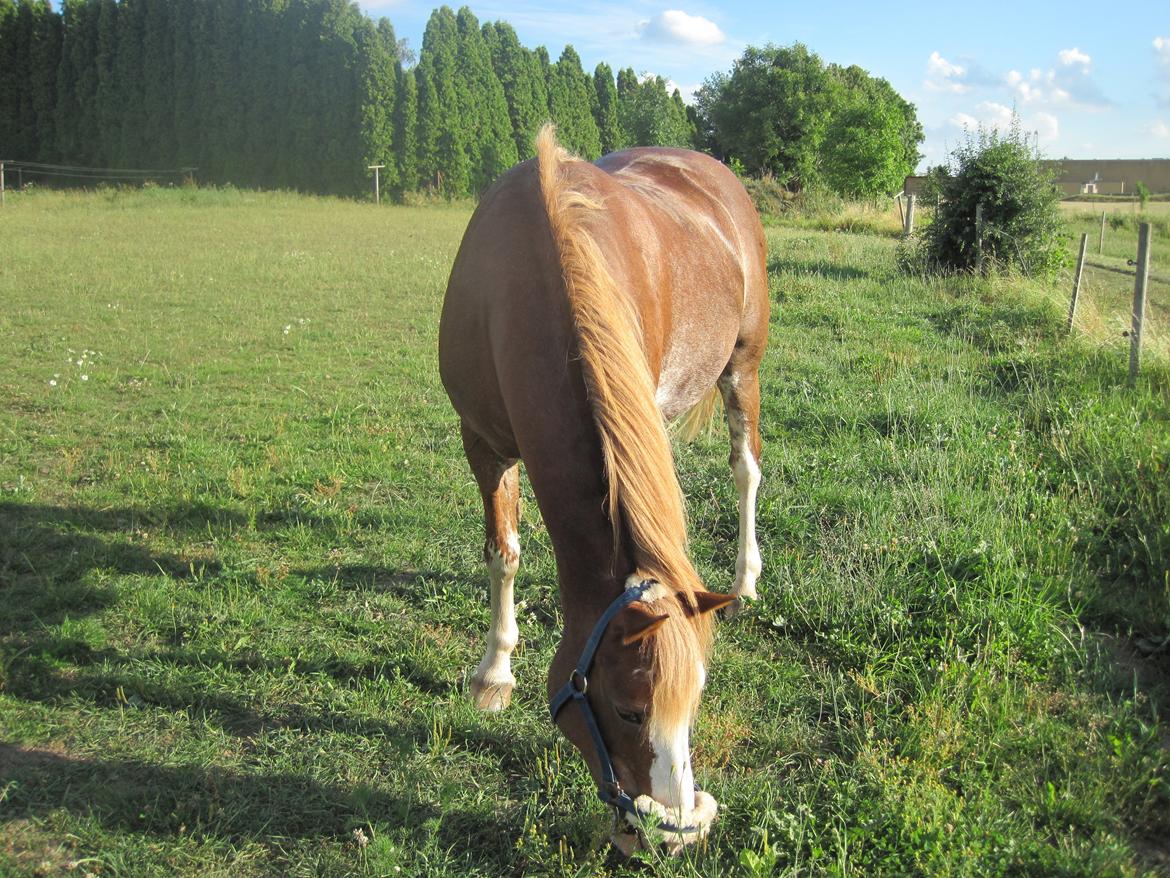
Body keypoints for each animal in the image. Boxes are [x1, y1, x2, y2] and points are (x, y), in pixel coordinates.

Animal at [439, 124, 767, 852]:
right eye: (629, 708)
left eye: (693, 705)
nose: (672, 836)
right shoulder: (483, 443)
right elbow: (503, 553)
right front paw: (494, 674)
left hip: (743, 367)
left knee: (746, 470)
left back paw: (747, 575)